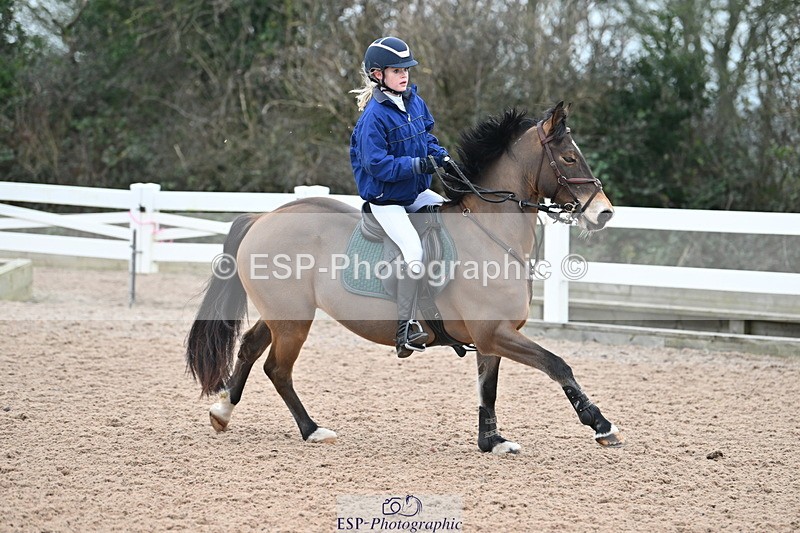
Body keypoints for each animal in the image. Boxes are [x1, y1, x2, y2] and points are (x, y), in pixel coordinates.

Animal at [185, 101, 624, 454]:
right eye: (569, 158)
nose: (603, 212)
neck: (490, 234)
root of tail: (263, 217)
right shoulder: (494, 332)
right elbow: (558, 365)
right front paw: (602, 425)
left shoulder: (491, 338)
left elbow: (489, 389)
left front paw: (492, 441)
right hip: (293, 322)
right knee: (277, 369)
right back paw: (312, 430)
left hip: (283, 315)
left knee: (249, 347)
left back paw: (222, 411)